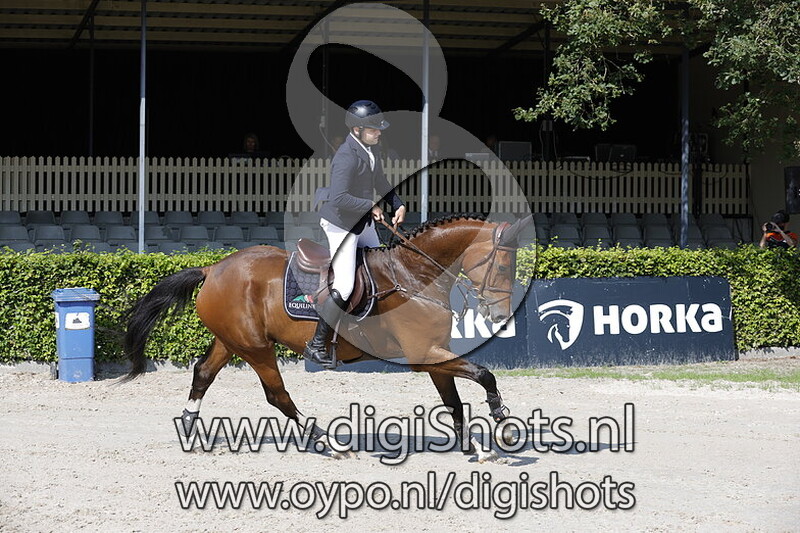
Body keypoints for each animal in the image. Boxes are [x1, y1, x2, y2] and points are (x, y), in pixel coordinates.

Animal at [123, 214, 532, 461]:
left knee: (204, 374)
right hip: (256, 348)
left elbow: (454, 402)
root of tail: (214, 267)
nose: (499, 316)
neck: (414, 276)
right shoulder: (424, 354)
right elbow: (484, 375)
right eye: (502, 266)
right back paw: (331, 443)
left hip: (232, 341)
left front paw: (475, 448)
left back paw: (189, 431)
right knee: (278, 396)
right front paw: (504, 425)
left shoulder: (434, 353)